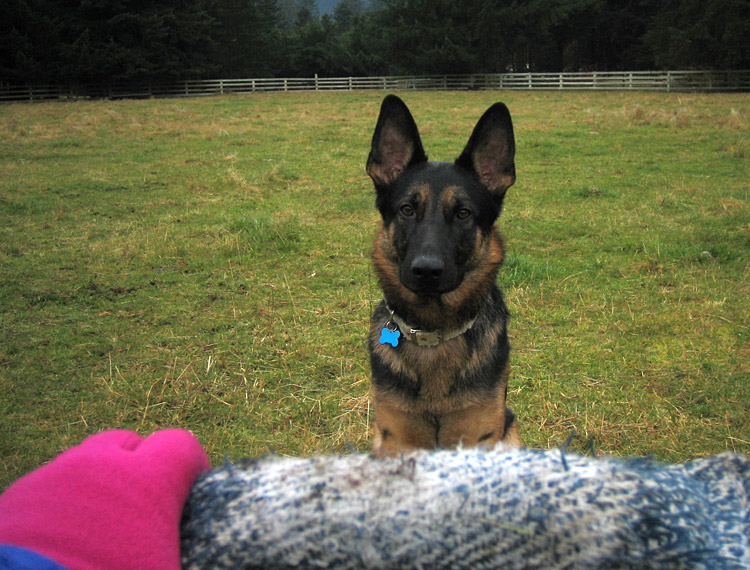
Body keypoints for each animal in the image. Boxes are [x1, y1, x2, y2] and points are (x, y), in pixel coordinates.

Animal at [366, 94, 521, 454]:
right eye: (407, 209)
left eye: (463, 213)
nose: (426, 270)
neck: (433, 333)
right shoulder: (398, 439)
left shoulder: (478, 435)